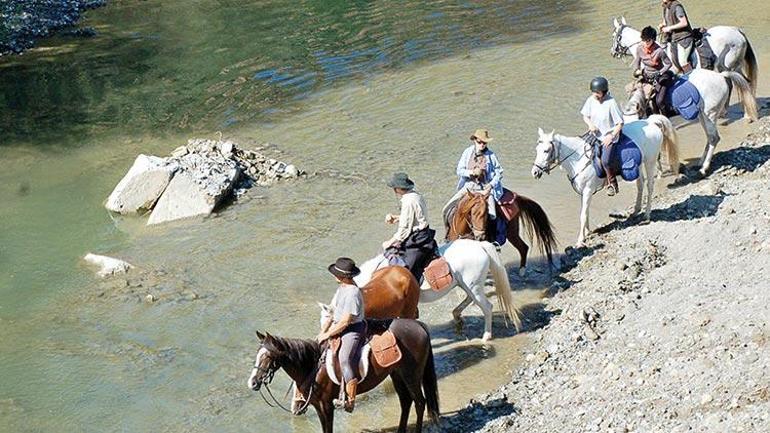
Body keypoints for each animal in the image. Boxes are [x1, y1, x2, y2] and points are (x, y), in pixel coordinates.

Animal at [246, 318, 438, 432]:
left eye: (268, 356)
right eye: (257, 353)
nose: (252, 382)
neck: (313, 367)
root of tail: (419, 325)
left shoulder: (326, 404)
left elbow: (328, 428)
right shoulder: (317, 405)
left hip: (411, 375)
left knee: (420, 402)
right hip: (397, 374)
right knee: (406, 402)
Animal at [356, 236, 524, 340]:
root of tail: (480, 245)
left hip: (473, 286)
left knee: (487, 307)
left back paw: (486, 336)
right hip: (467, 285)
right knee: (470, 299)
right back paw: (457, 316)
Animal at [528, 115, 680, 246]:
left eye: (546, 150)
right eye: (537, 149)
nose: (535, 172)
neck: (577, 159)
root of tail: (651, 122)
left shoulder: (588, 190)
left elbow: (583, 214)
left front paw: (580, 240)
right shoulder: (583, 192)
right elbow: (585, 211)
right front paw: (588, 232)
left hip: (650, 161)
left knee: (649, 186)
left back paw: (647, 215)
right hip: (638, 165)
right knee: (640, 184)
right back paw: (636, 211)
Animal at [608, 17, 760, 94]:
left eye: (614, 35)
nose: (612, 52)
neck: (648, 48)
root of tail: (737, 30)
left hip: (729, 66)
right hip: (734, 66)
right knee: (744, 82)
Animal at [624, 67, 756, 176]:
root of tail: (721, 76)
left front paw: (660, 173)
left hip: (709, 114)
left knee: (714, 138)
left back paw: (703, 168)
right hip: (702, 116)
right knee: (709, 137)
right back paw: (700, 163)